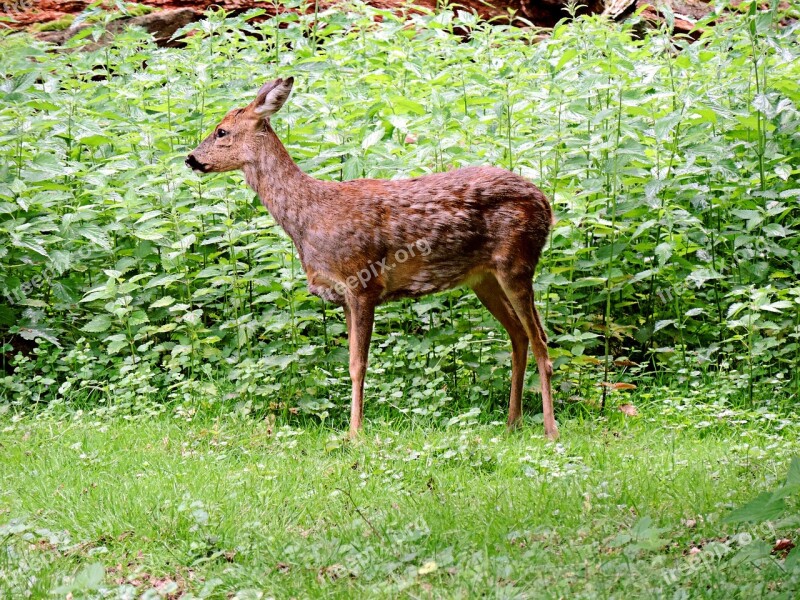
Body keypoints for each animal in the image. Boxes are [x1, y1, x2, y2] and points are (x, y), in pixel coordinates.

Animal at [187, 77, 556, 438]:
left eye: (221, 131)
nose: (190, 158)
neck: (311, 218)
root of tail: (546, 204)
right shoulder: (343, 295)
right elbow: (350, 363)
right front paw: (353, 428)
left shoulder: (363, 282)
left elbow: (357, 364)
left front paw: (355, 432)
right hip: (484, 278)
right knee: (519, 335)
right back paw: (512, 422)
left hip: (517, 263)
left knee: (540, 339)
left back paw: (549, 430)